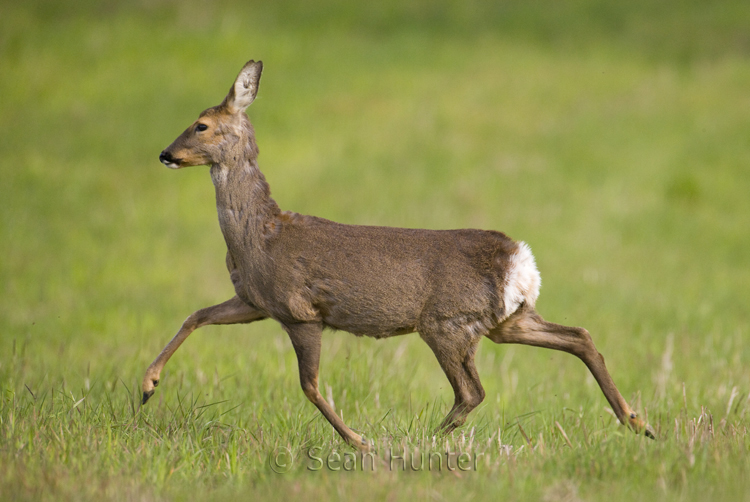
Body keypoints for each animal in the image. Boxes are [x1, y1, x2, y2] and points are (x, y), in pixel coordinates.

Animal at [142, 59, 656, 452]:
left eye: (201, 125)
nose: (165, 153)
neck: (258, 238)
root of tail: (519, 259)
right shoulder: (255, 302)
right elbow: (196, 315)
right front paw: (148, 385)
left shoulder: (299, 310)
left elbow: (309, 386)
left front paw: (360, 440)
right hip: (506, 320)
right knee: (579, 336)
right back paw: (638, 422)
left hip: (447, 322)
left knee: (473, 390)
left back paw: (423, 440)